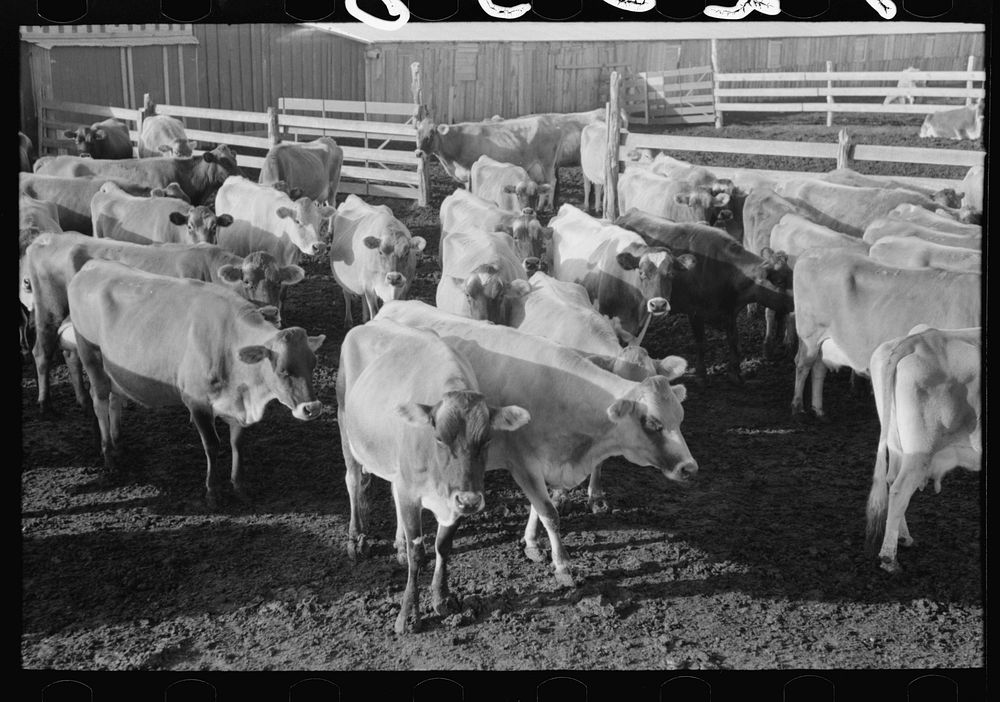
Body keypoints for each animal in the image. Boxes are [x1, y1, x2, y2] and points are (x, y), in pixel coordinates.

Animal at [326, 191, 424, 326]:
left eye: (407, 252)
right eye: (380, 252)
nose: (394, 277)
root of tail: (352, 197)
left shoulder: (405, 288)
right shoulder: (369, 288)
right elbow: (374, 311)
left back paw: (364, 318)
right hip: (344, 279)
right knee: (346, 294)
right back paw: (348, 321)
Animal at [338, 322, 532, 636]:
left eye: (487, 439)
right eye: (439, 437)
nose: (470, 501)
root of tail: (368, 324)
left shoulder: (455, 498)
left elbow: (443, 546)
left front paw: (442, 597)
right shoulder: (411, 492)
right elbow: (417, 552)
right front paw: (408, 615)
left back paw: (398, 543)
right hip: (346, 427)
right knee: (354, 480)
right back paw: (356, 540)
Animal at [376, 302, 696, 588]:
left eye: (680, 417)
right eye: (653, 422)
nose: (689, 468)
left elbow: (538, 507)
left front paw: (531, 542)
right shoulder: (522, 463)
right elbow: (549, 513)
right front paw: (563, 566)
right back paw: (402, 544)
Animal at [864, 328, 980, 576]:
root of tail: (919, 339)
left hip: (896, 443)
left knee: (892, 481)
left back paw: (903, 538)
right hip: (920, 450)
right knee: (899, 490)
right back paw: (889, 558)